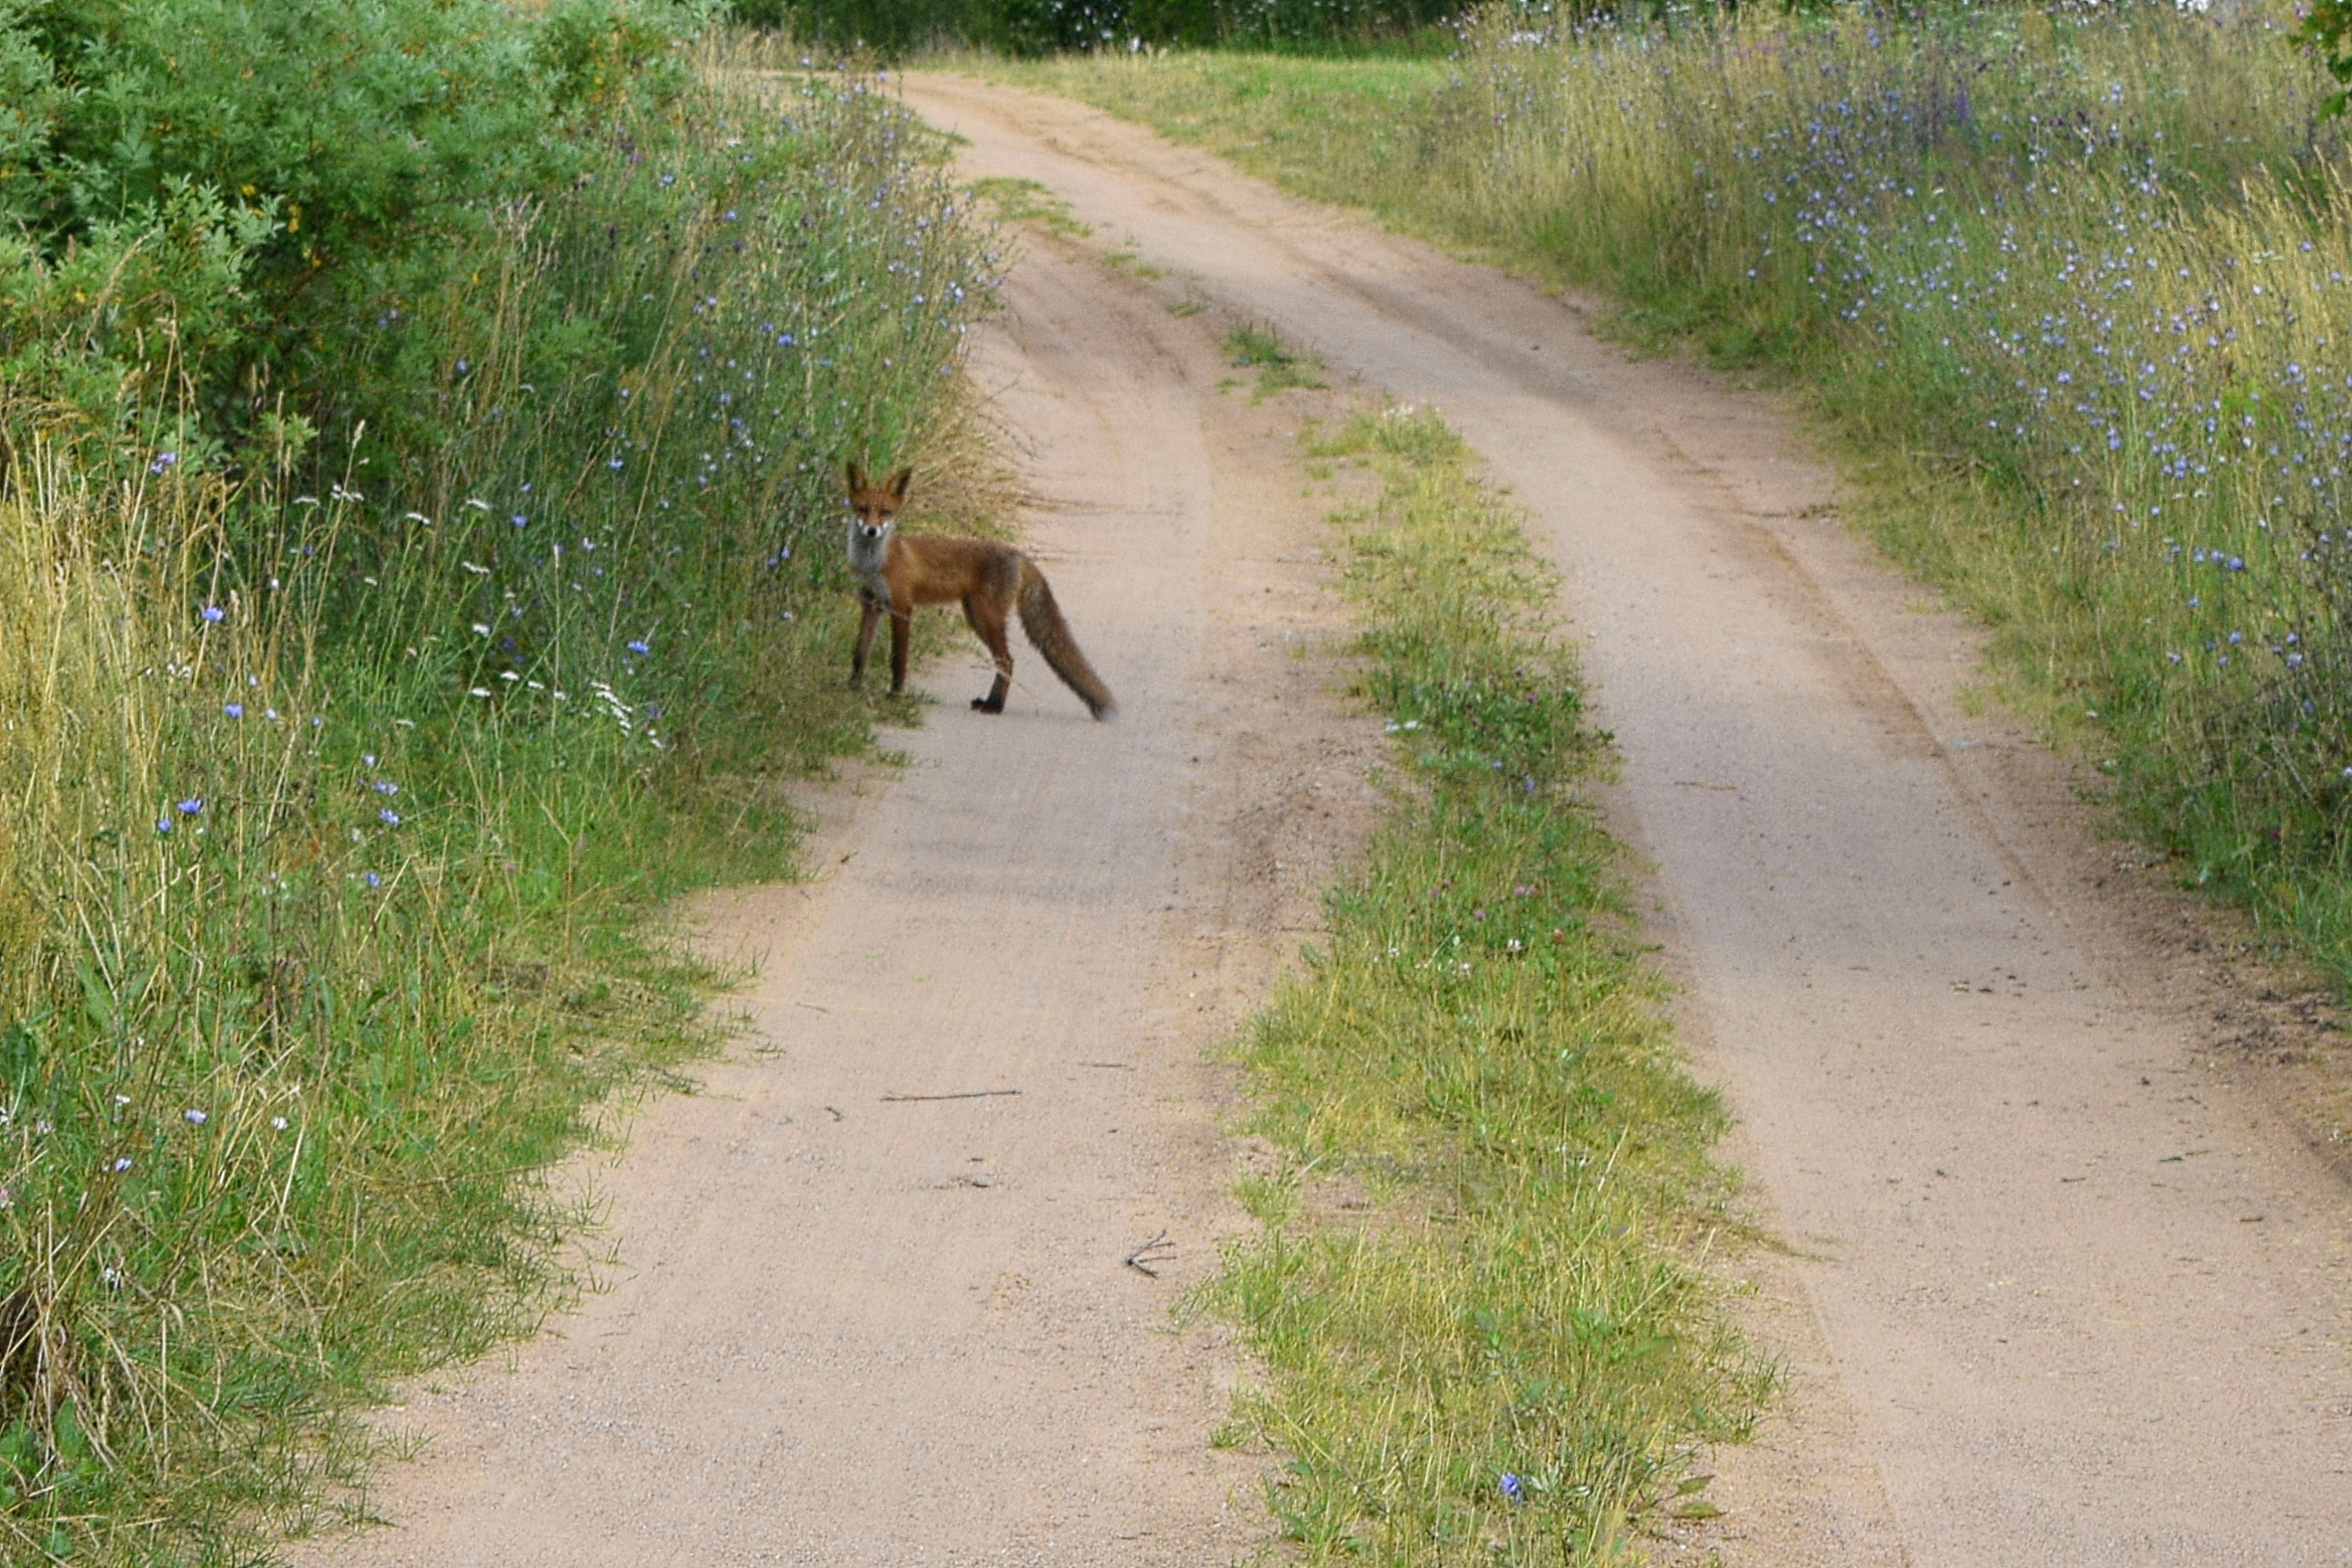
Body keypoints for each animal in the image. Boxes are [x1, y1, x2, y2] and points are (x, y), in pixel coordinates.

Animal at [842, 461, 1115, 719]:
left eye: (885, 512)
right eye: (863, 509)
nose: (872, 530)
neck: (875, 563)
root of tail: (1018, 554)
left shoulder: (902, 607)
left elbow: (898, 659)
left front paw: (896, 694)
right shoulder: (871, 605)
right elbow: (860, 654)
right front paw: (853, 687)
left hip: (986, 618)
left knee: (1007, 661)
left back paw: (995, 706)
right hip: (975, 615)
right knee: (1004, 661)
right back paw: (991, 703)